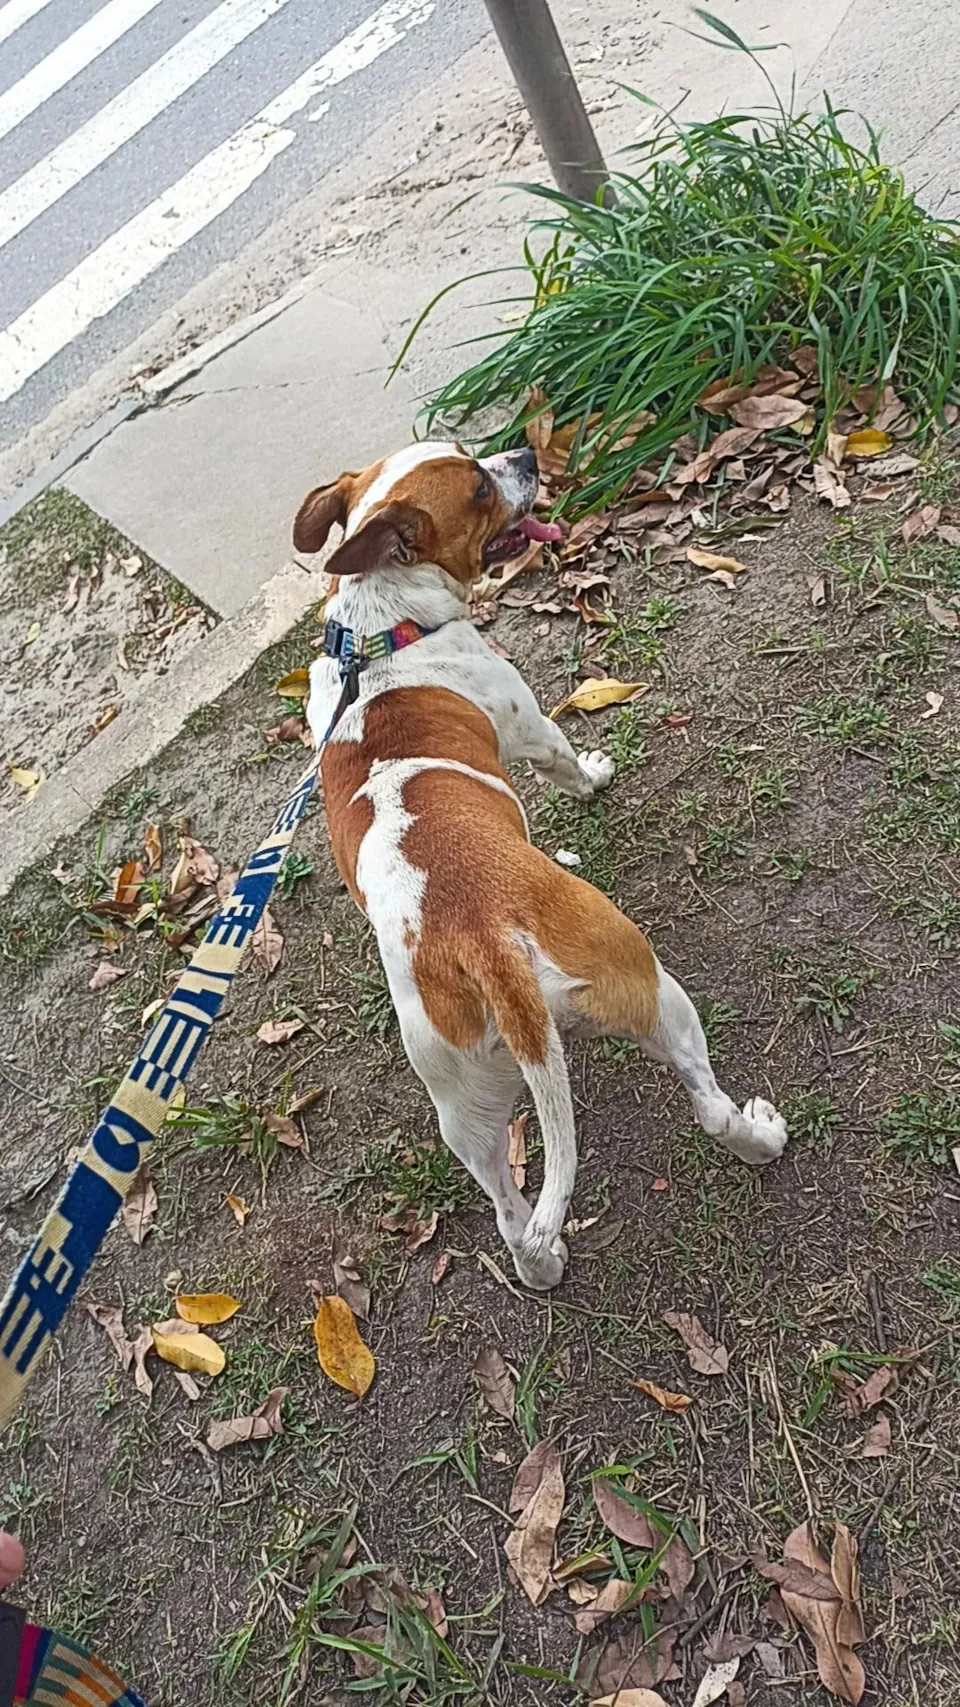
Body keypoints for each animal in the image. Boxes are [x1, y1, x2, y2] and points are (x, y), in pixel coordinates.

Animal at [294, 441, 787, 1290]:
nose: (523, 451)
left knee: (507, 1214)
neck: (378, 627)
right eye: (478, 485)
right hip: (654, 989)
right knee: (708, 1103)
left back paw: (543, 1258)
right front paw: (596, 775)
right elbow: (566, 764)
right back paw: (762, 1135)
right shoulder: (533, 731)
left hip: (463, 1105)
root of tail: (485, 939)